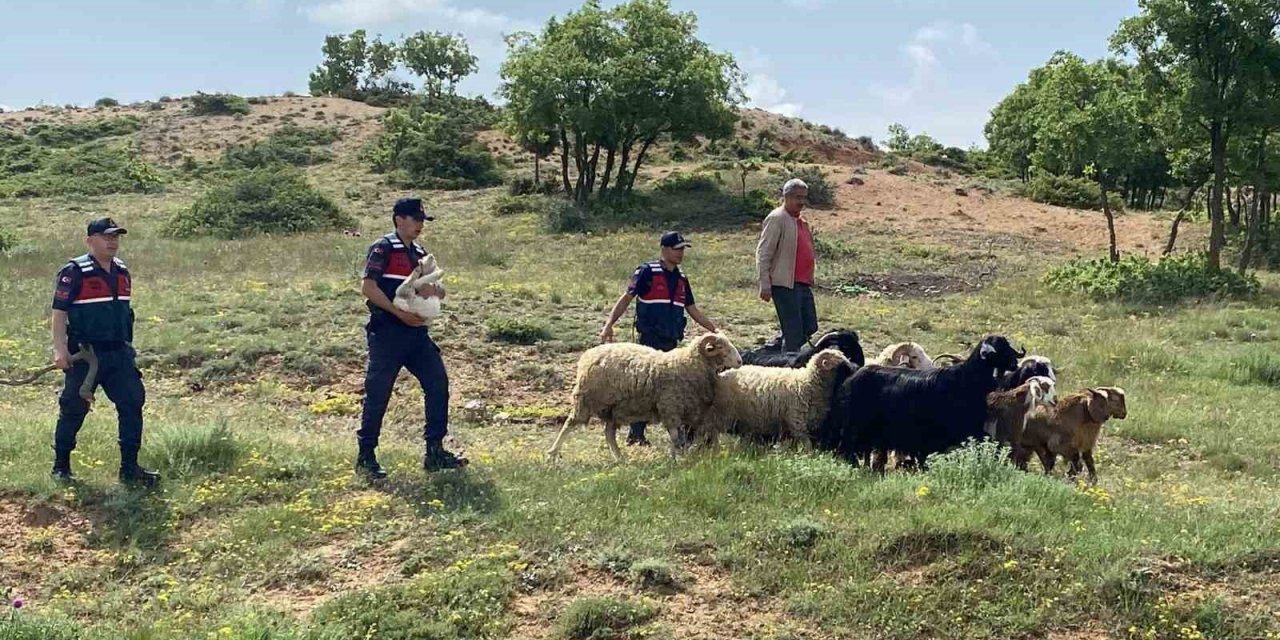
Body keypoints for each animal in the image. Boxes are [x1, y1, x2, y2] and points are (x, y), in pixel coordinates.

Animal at [545, 332, 747, 463]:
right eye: (720, 347)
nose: (740, 361)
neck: (690, 363)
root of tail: (587, 356)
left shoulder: (691, 411)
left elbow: (696, 433)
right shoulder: (670, 407)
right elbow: (675, 436)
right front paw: (677, 458)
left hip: (613, 410)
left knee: (609, 434)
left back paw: (620, 459)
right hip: (587, 400)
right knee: (570, 424)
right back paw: (552, 454)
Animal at [701, 348, 849, 448]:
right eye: (840, 363)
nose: (852, 368)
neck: (807, 382)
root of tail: (721, 376)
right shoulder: (797, 422)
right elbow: (807, 446)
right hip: (720, 414)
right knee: (710, 432)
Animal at [824, 335, 1024, 471]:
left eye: (1006, 345)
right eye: (998, 349)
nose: (1015, 363)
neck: (966, 380)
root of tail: (849, 377)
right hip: (853, 426)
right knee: (846, 449)